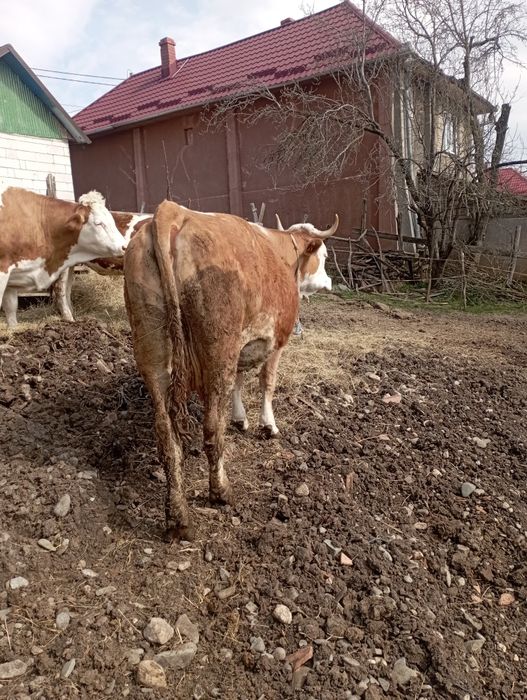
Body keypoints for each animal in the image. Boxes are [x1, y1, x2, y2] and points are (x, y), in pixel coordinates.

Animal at [124, 199, 337, 540]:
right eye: (325, 255)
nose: (329, 283)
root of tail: (172, 212)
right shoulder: (276, 340)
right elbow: (266, 382)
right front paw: (267, 425)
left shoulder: (241, 344)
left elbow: (239, 380)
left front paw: (240, 418)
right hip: (218, 350)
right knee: (212, 428)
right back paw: (221, 492)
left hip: (152, 350)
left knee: (167, 440)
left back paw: (178, 518)